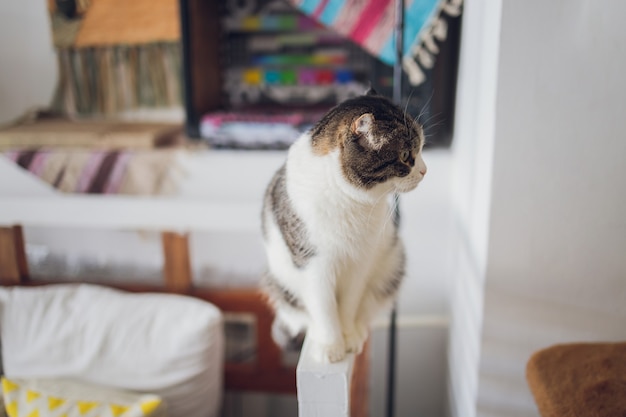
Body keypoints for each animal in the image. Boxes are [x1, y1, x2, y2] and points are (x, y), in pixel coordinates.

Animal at [258, 89, 424, 362]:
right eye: (404, 156)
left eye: (421, 148)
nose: (424, 170)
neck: (347, 200)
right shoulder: (313, 265)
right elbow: (324, 309)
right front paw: (331, 345)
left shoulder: (360, 262)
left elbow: (348, 306)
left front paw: (348, 337)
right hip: (280, 284)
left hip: (391, 265)